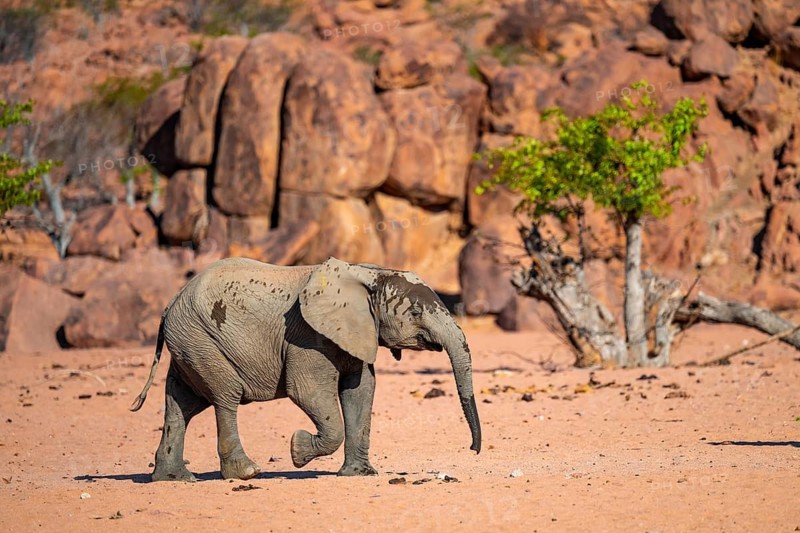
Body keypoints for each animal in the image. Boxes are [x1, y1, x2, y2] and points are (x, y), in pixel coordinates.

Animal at [130, 256, 481, 481]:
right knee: (225, 396)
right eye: (417, 311)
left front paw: (360, 475)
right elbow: (307, 392)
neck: (368, 272)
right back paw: (246, 473)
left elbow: (360, 392)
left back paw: (174, 478)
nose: (473, 450)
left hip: (190, 341)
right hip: (201, 338)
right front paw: (297, 450)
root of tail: (170, 303)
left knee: (182, 403)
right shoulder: (307, 336)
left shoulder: (355, 332)